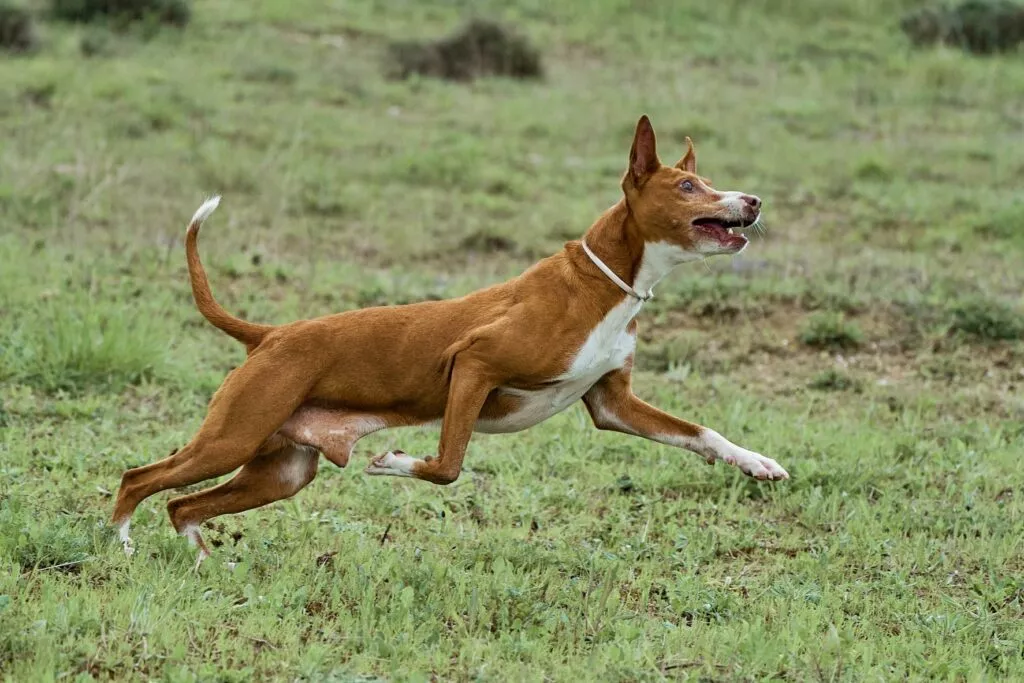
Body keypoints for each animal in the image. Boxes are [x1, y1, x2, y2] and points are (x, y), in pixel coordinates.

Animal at [112, 116, 786, 561]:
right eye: (688, 187)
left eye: (707, 182)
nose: (753, 199)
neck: (605, 284)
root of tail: (271, 334)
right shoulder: (474, 364)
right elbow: (447, 466)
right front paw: (391, 461)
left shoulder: (612, 404)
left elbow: (701, 433)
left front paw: (758, 461)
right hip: (231, 438)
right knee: (140, 479)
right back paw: (120, 545)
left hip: (279, 472)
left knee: (181, 505)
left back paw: (203, 563)